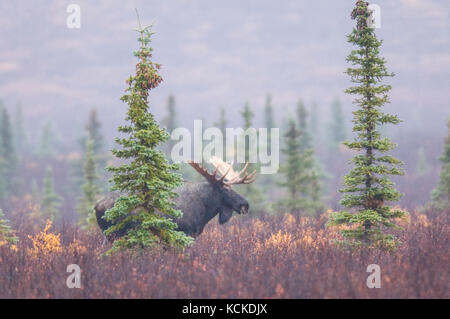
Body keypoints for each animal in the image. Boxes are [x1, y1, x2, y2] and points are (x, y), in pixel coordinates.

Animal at [94, 158, 256, 240]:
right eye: (225, 189)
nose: (245, 204)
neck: (205, 210)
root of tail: (96, 206)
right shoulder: (186, 232)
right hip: (113, 233)